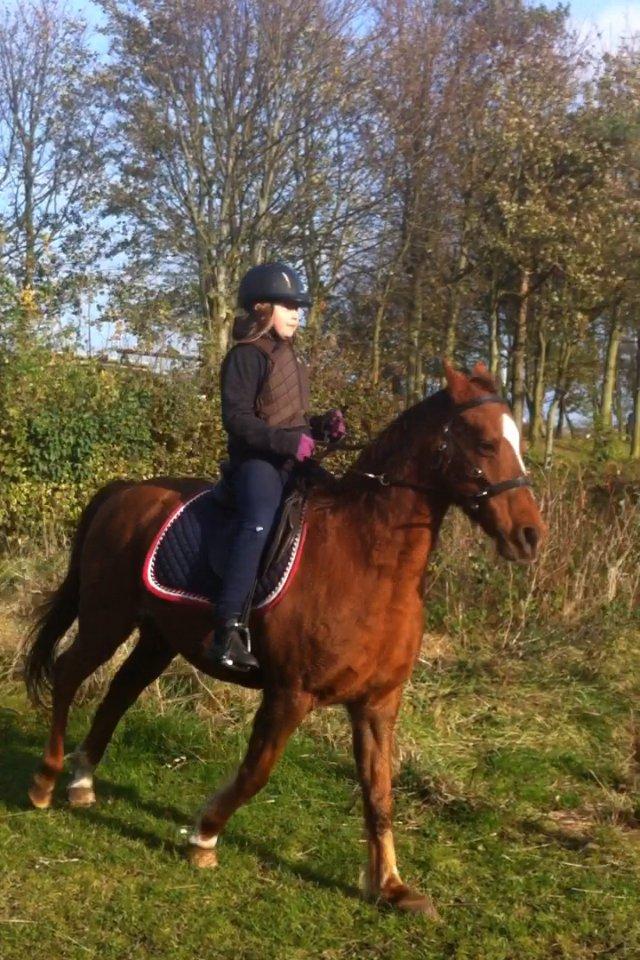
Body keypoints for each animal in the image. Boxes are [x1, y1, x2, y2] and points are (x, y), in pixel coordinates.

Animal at [23, 361, 543, 916]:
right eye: (485, 442)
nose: (531, 535)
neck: (372, 562)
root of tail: (125, 492)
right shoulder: (290, 694)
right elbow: (257, 771)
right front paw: (204, 835)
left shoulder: (377, 704)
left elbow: (379, 793)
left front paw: (391, 886)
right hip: (107, 619)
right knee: (68, 674)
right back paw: (46, 781)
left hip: (157, 638)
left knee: (120, 692)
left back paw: (81, 781)